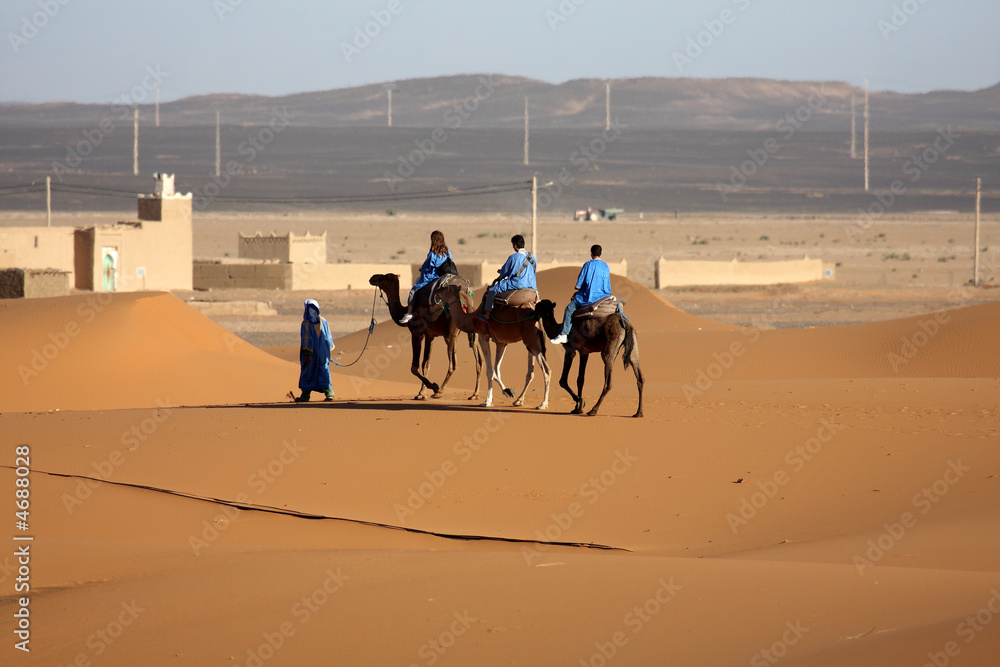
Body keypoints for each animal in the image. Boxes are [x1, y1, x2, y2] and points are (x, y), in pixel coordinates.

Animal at [370, 272, 482, 402]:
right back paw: (474, 394)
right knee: (479, 361)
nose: (372, 278)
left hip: (450, 334)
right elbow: (426, 364)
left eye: (383, 277)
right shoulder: (430, 336)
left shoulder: (416, 334)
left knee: (453, 364)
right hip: (472, 330)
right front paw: (421, 393)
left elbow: (414, 367)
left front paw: (433, 386)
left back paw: (439, 391)